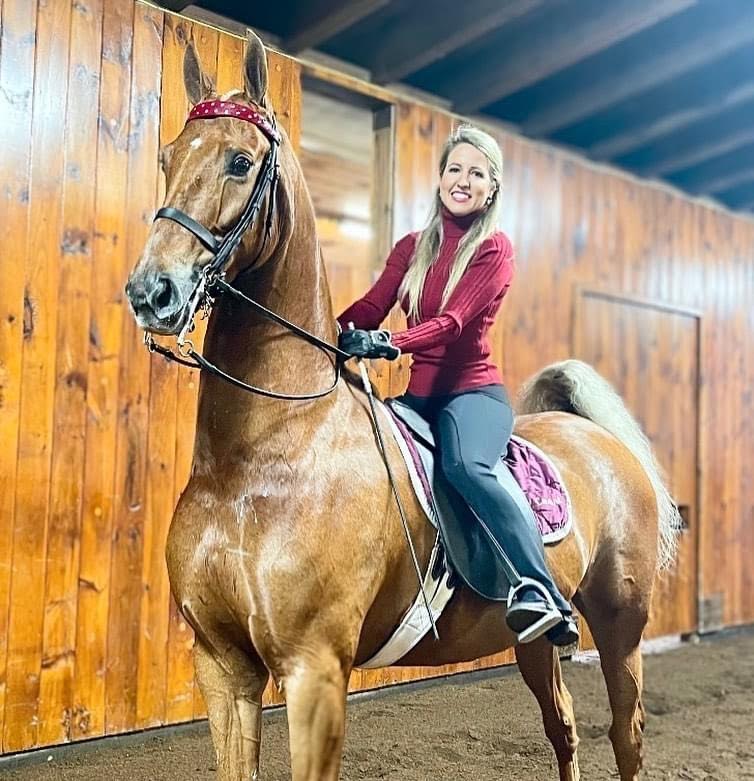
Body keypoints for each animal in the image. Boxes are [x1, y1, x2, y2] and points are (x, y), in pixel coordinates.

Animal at [125, 30, 679, 781]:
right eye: (167, 158)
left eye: (240, 161)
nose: (152, 291)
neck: (260, 460)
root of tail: (594, 437)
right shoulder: (223, 668)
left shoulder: (315, 669)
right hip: (535, 644)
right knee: (563, 728)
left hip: (622, 623)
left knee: (626, 734)